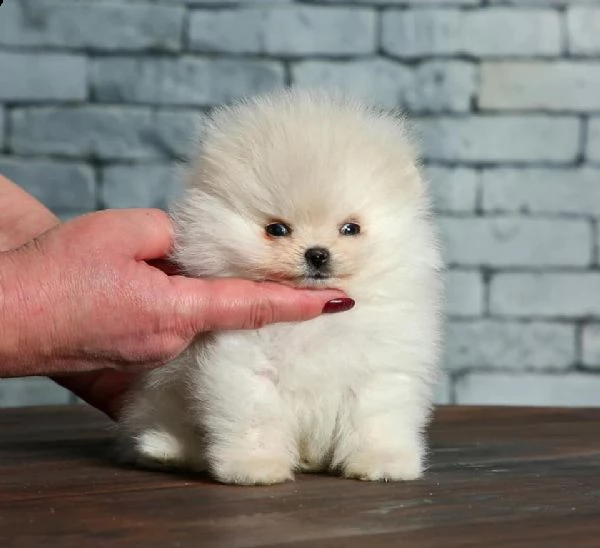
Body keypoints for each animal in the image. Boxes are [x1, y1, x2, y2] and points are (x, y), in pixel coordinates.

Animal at [118, 89, 446, 484]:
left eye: (350, 228)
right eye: (276, 229)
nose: (317, 254)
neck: (317, 324)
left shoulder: (380, 368)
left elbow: (375, 418)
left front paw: (383, 462)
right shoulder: (245, 366)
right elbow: (256, 418)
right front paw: (254, 467)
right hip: (166, 393)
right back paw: (166, 449)